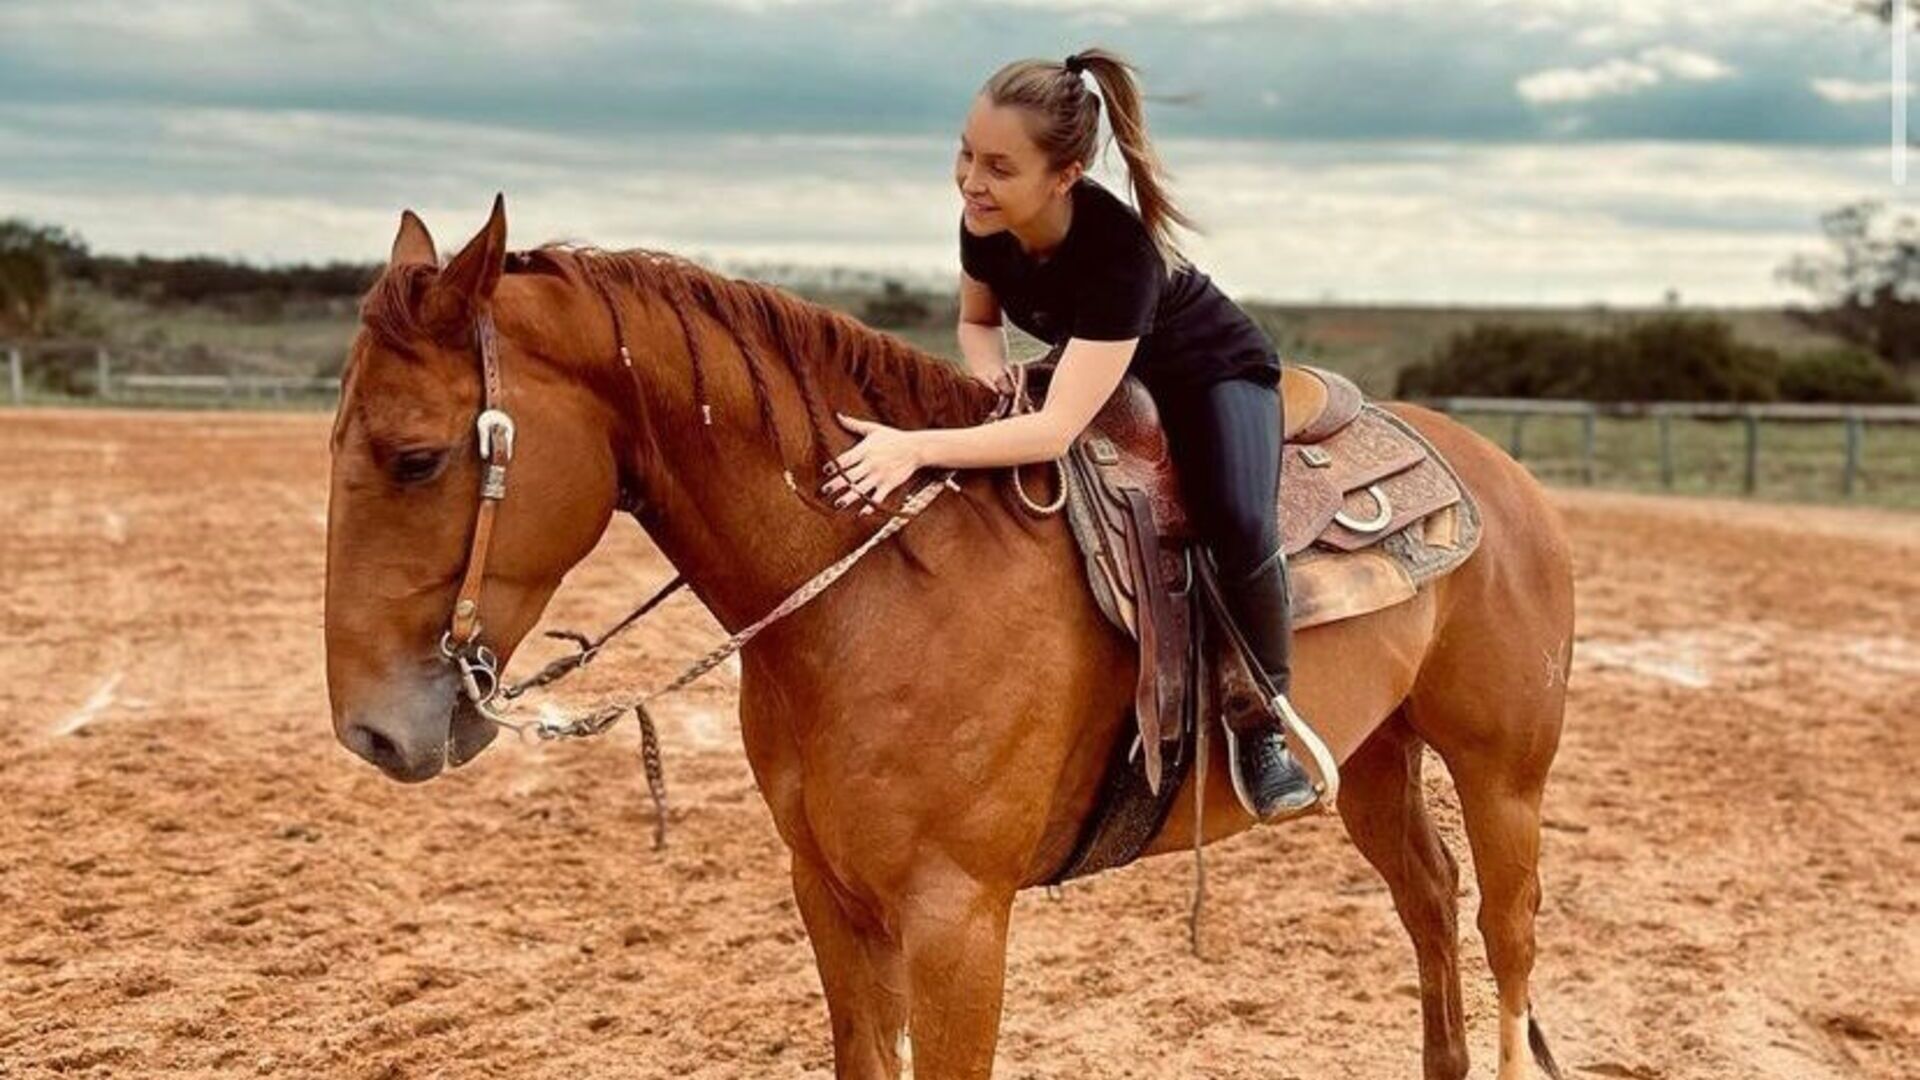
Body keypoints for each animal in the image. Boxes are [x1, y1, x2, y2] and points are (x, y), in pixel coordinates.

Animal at [323, 197, 1574, 1080]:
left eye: (416, 457)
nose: (371, 733)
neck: (881, 592)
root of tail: (1502, 478)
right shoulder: (829, 895)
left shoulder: (958, 921)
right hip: (1374, 758)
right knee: (1430, 901)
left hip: (1503, 774)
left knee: (1506, 933)